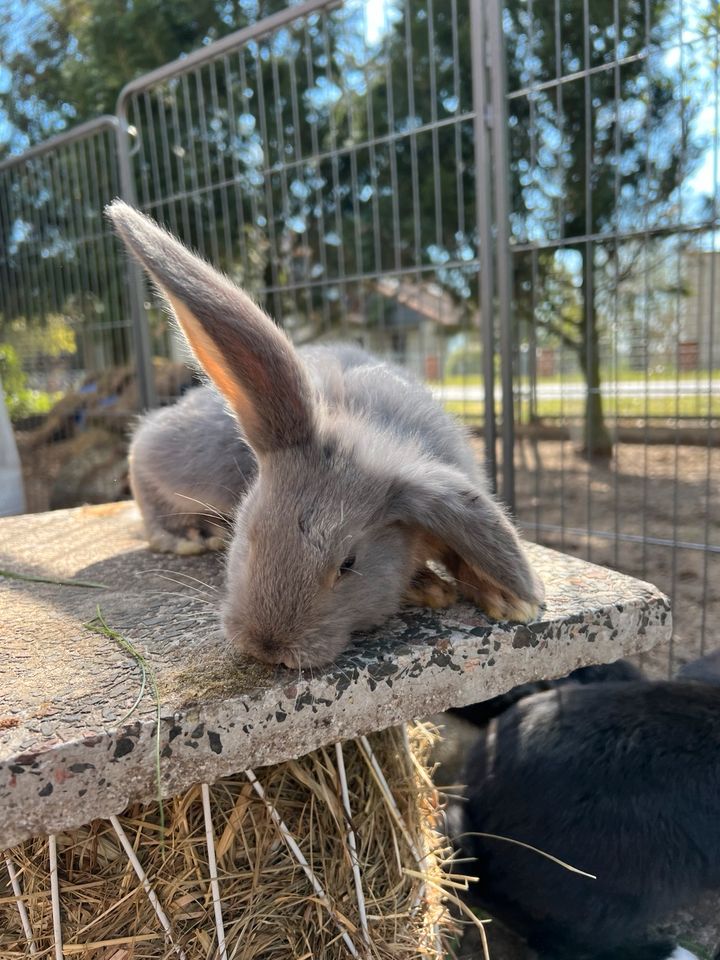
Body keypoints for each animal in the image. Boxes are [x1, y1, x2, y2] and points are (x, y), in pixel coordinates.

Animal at [107, 202, 544, 668]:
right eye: (250, 533)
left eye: (348, 563)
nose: (267, 646)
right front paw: (431, 587)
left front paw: (506, 599)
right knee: (141, 463)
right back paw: (189, 536)